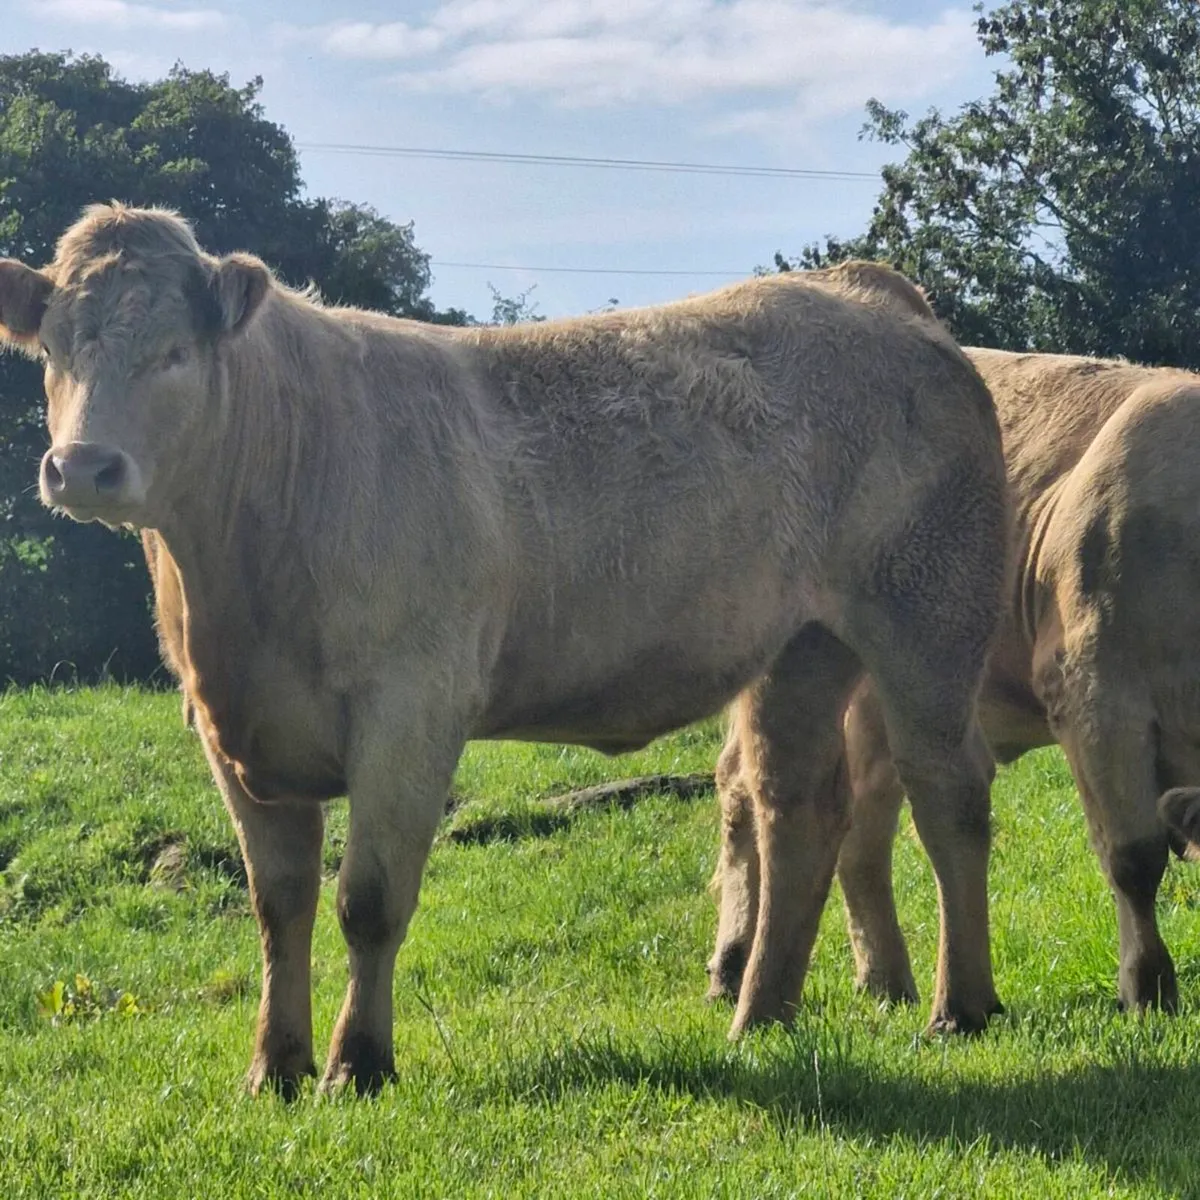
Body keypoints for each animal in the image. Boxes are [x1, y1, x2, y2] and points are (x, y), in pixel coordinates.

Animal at [0, 204, 1006, 1096]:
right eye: (53, 352)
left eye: (172, 354)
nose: (81, 467)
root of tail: (869, 291)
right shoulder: (230, 730)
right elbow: (278, 906)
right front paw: (272, 1071)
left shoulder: (412, 706)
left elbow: (367, 901)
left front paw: (357, 1067)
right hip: (800, 647)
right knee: (798, 808)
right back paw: (760, 1016)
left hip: (930, 615)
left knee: (947, 794)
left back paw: (961, 1007)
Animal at [710, 346, 1200, 1018]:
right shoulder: (1096, 694)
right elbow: (1132, 856)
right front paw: (1147, 989)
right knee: (741, 786)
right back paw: (733, 967)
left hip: (884, 697)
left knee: (863, 820)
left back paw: (886, 979)